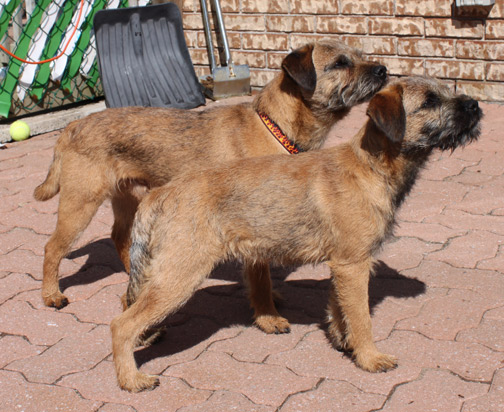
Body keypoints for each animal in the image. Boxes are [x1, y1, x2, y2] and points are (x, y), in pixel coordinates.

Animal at [34, 40, 387, 336]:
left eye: (358, 55)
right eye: (340, 63)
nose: (383, 70)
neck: (273, 126)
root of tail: (72, 126)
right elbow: (260, 280)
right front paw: (268, 317)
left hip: (128, 199)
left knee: (120, 237)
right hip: (80, 205)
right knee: (52, 248)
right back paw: (51, 294)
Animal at [110, 75, 482, 392]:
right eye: (430, 101)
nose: (475, 105)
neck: (370, 166)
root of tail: (160, 193)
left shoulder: (342, 266)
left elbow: (339, 308)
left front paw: (343, 342)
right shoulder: (354, 265)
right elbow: (362, 317)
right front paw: (369, 357)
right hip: (179, 277)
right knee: (121, 325)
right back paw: (131, 380)